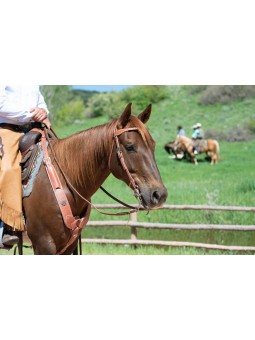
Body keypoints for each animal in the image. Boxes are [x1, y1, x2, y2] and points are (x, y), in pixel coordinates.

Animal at [21, 103, 167, 255]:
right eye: (130, 146)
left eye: (153, 145)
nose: (159, 194)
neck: (61, 181)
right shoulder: (43, 244)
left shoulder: (68, 245)